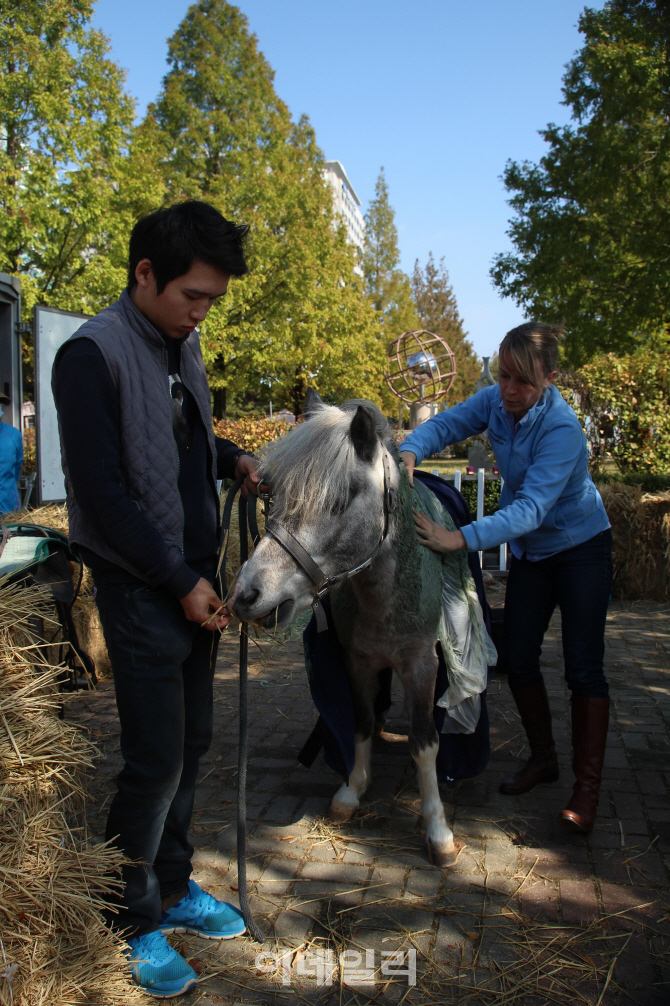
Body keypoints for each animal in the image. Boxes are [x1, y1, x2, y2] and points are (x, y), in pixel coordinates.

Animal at [233, 392, 490, 865]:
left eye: (337, 502)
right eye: (273, 496)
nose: (246, 595)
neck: (383, 598)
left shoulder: (422, 666)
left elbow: (425, 742)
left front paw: (438, 829)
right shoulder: (357, 661)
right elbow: (362, 721)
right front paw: (353, 789)